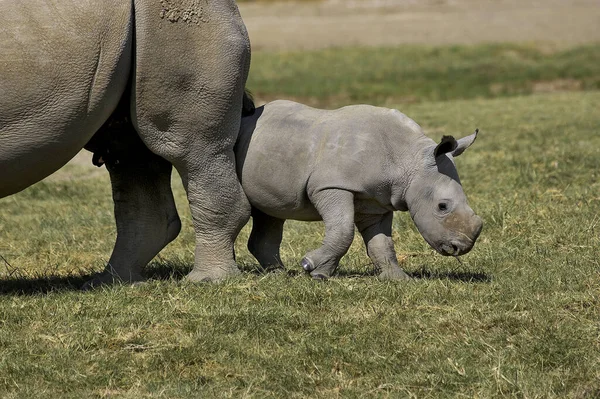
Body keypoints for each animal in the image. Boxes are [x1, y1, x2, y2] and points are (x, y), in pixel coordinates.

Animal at [234, 101, 482, 282]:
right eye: (442, 206)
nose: (461, 247)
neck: (409, 159)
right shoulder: (332, 185)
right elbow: (344, 231)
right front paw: (313, 269)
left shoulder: (378, 201)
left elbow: (382, 243)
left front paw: (398, 279)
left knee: (270, 213)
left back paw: (278, 274)